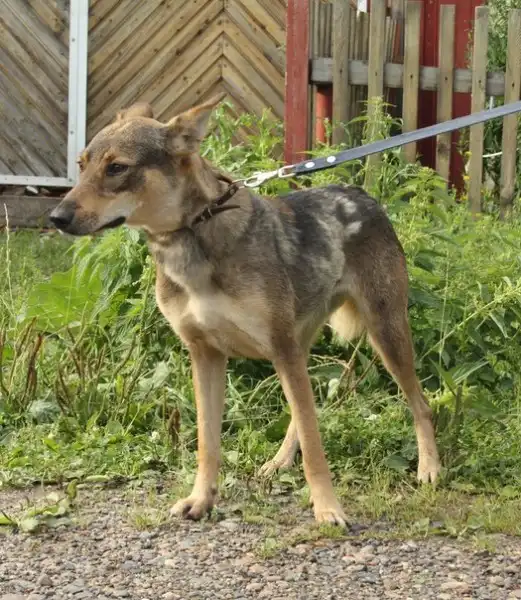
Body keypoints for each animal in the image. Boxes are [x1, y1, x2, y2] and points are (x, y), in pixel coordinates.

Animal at [49, 94, 441, 526]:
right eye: (82, 165)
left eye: (117, 167)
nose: (57, 217)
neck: (193, 236)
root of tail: (362, 194)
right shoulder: (206, 355)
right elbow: (208, 443)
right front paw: (201, 499)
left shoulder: (279, 349)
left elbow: (315, 448)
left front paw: (327, 508)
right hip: (301, 345)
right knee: (304, 411)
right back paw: (280, 460)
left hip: (383, 334)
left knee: (420, 405)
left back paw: (429, 468)